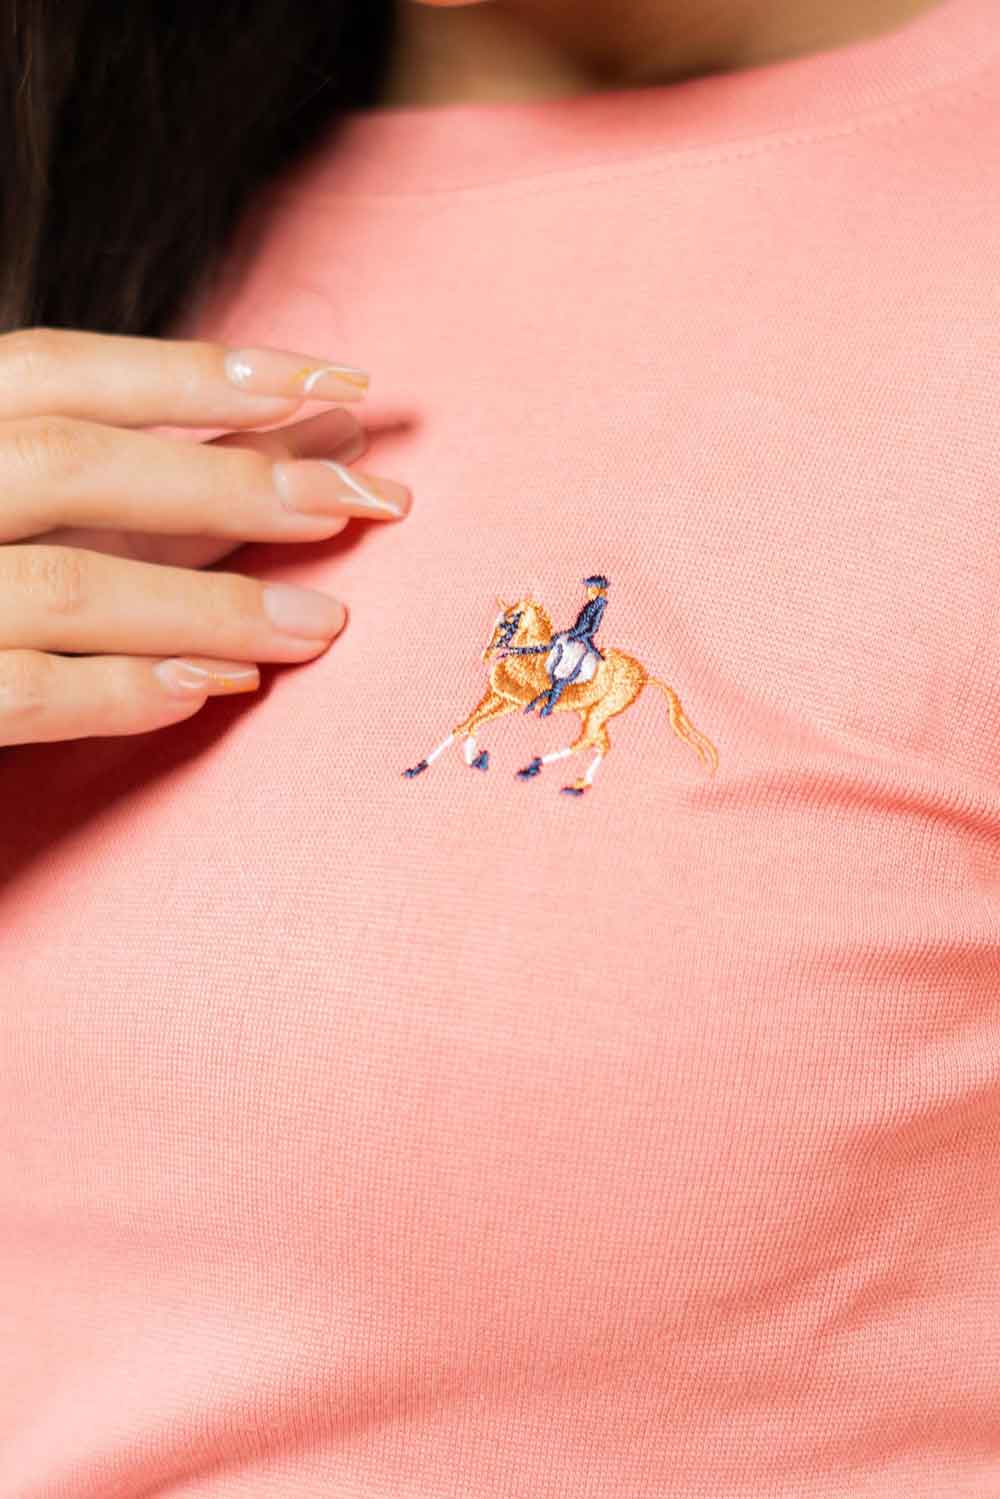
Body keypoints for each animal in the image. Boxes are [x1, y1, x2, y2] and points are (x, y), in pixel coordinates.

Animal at [403, 595, 719, 795]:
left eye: (508, 623)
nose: (486, 655)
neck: (527, 659)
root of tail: (644, 674)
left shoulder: (510, 703)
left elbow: (473, 725)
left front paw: (473, 757)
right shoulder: (494, 695)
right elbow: (465, 725)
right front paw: (426, 765)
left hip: (599, 712)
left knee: (586, 742)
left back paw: (533, 767)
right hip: (592, 712)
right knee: (601, 744)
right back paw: (577, 785)